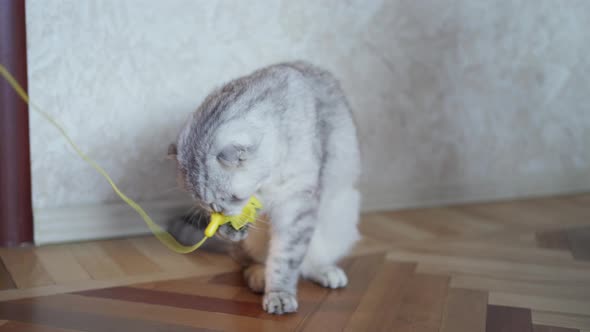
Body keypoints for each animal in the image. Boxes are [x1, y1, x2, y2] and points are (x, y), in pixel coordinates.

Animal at [166, 61, 360, 314]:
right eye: (205, 204)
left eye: (230, 197)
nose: (218, 212)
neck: (268, 184)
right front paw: (231, 229)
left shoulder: (297, 203)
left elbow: (286, 258)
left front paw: (279, 294)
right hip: (255, 245)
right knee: (248, 261)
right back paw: (259, 277)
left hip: (341, 213)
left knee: (307, 261)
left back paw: (326, 272)